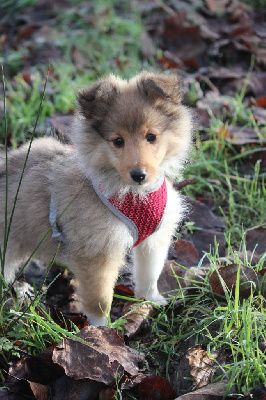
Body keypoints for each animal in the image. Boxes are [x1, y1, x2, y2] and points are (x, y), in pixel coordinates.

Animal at [0, 71, 191, 324]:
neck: (132, 194)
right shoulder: (96, 251)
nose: (139, 174)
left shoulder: (153, 239)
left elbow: (150, 274)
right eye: (118, 141)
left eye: (151, 136)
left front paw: (152, 301)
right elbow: (100, 298)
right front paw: (101, 327)